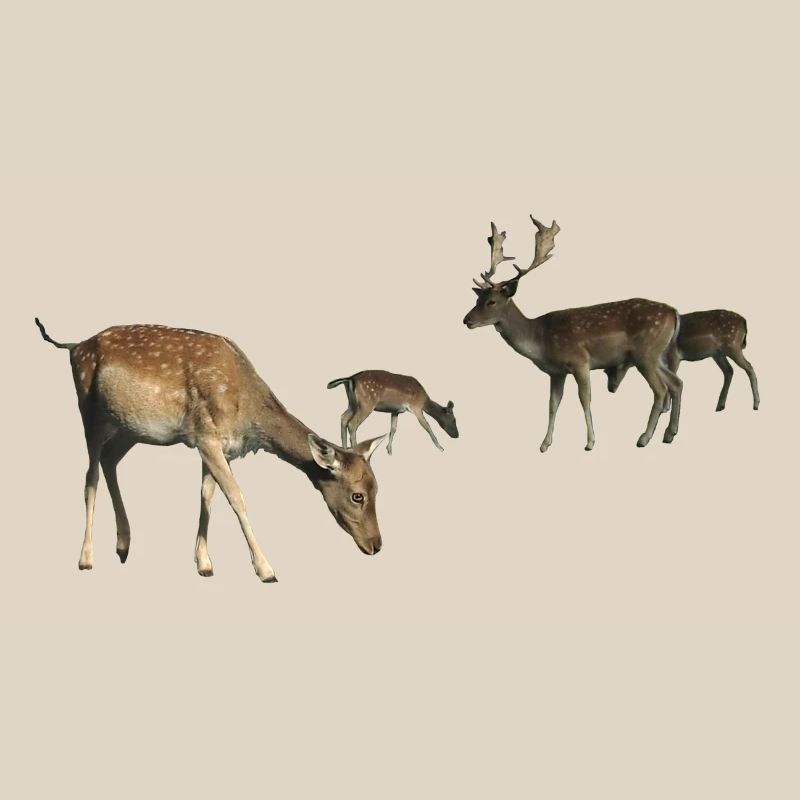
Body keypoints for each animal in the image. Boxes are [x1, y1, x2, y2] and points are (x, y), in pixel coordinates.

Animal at [35, 318, 388, 582]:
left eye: (378, 489)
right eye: (357, 495)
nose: (377, 545)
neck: (246, 412)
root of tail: (74, 346)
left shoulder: (218, 445)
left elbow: (207, 495)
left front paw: (204, 563)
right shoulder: (205, 436)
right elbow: (236, 496)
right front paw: (266, 569)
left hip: (128, 427)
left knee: (110, 461)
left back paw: (123, 545)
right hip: (90, 411)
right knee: (89, 476)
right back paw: (86, 558)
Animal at [327, 370, 459, 454]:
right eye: (454, 419)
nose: (457, 435)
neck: (424, 401)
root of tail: (350, 378)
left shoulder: (395, 411)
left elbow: (393, 429)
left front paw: (389, 450)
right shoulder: (416, 407)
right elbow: (427, 426)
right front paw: (441, 448)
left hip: (352, 403)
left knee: (343, 417)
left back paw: (344, 451)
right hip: (366, 404)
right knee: (352, 423)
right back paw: (357, 453)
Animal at [462, 216, 683, 451]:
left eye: (491, 301)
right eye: (477, 299)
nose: (466, 320)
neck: (541, 340)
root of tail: (674, 312)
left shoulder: (580, 361)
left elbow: (585, 399)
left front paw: (590, 442)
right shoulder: (556, 372)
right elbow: (553, 404)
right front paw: (544, 444)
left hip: (645, 353)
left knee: (660, 389)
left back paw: (644, 438)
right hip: (655, 355)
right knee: (676, 383)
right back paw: (669, 434)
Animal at [605, 309, 760, 412]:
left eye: (614, 368)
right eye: (605, 371)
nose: (611, 388)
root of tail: (744, 322)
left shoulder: (674, 355)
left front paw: (665, 408)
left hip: (733, 345)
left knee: (749, 367)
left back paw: (756, 404)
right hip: (718, 353)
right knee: (729, 370)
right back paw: (720, 405)